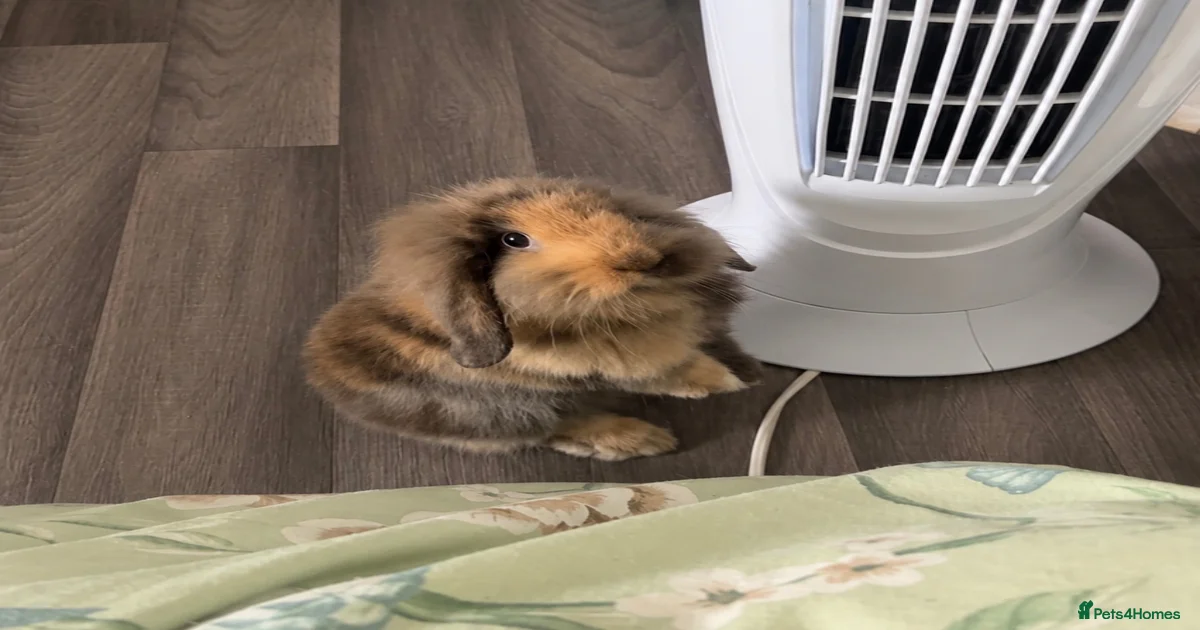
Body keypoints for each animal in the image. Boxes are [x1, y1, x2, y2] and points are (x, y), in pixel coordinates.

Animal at [302, 176, 764, 461]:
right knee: (552, 428)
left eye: (616, 212)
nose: (638, 259)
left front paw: (735, 377)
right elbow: (661, 374)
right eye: (514, 240)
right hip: (493, 411)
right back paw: (644, 441)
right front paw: (723, 381)